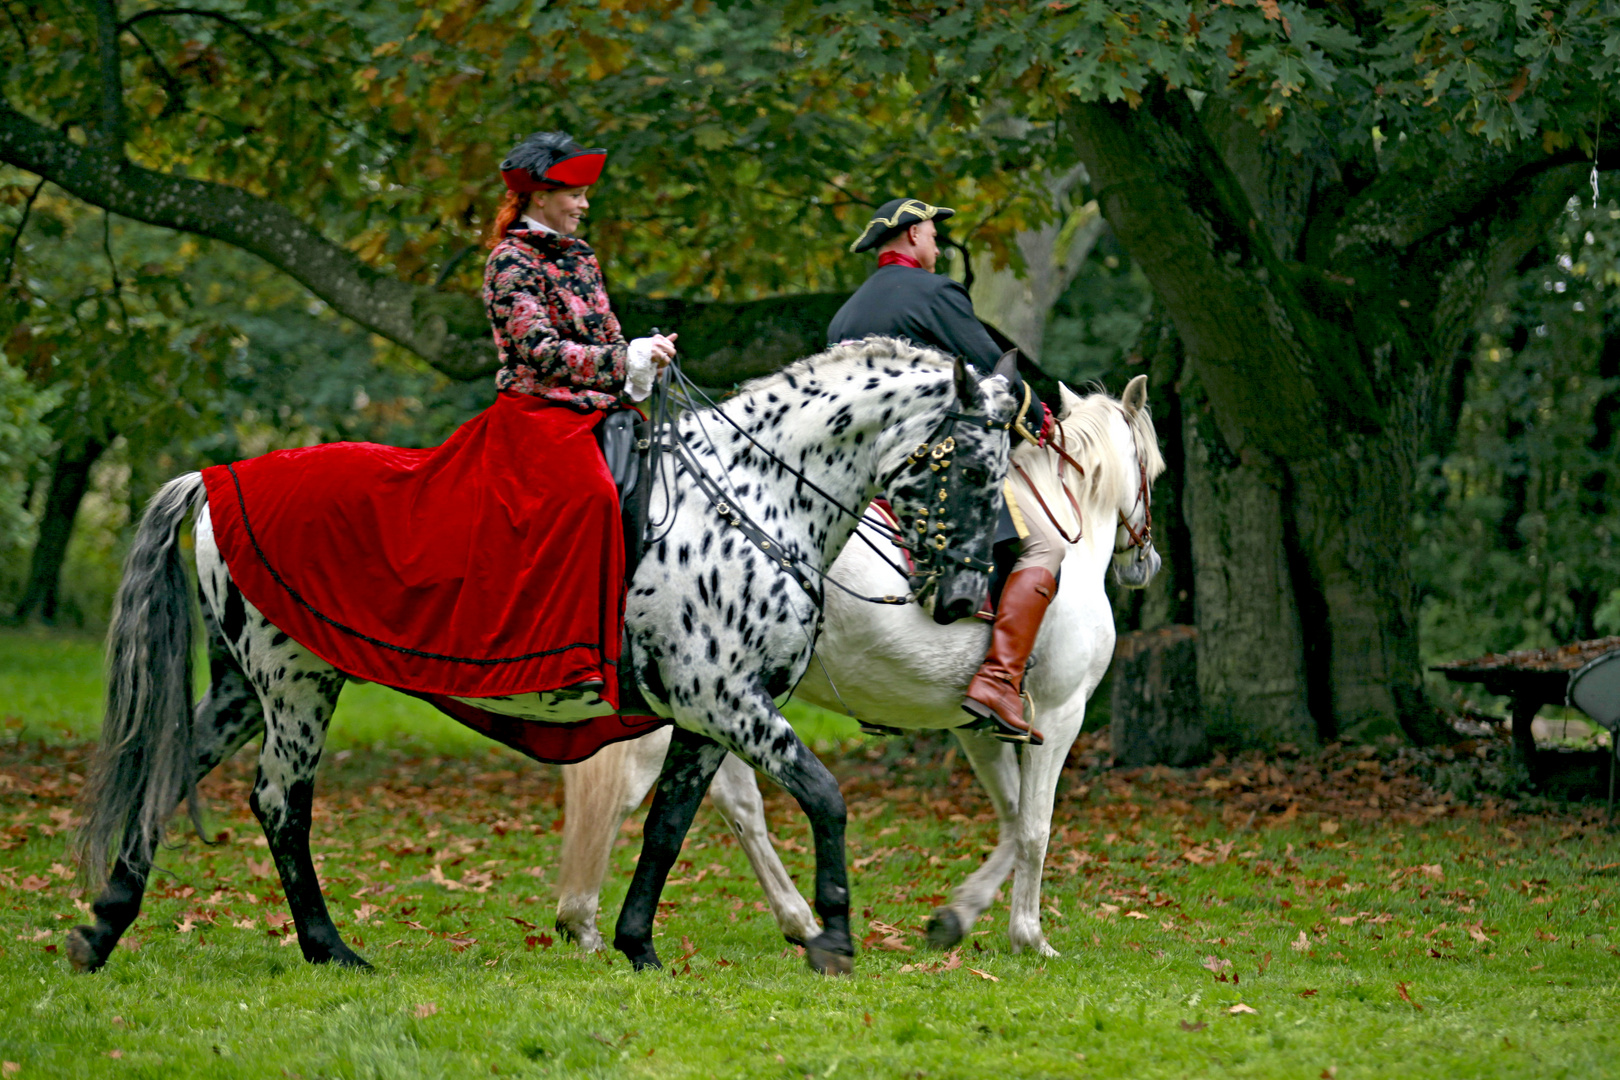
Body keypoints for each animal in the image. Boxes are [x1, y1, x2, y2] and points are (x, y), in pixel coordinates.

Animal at [72, 340, 1023, 977]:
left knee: (170, 775)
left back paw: (104, 927)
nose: (964, 600)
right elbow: (825, 797)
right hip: (298, 684)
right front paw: (834, 938)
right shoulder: (729, 701)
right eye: (978, 469)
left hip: (244, 688)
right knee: (280, 803)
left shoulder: (708, 714)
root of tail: (214, 480)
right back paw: (328, 947)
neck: (751, 498)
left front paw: (638, 948)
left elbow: (669, 825)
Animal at [557, 375, 1166, 958]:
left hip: (721, 705)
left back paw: (794, 919)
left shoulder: (978, 728)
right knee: (631, 793)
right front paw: (1030, 935)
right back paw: (583, 919)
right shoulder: (1061, 714)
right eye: (1153, 471)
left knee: (738, 805)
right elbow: (1036, 827)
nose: (1148, 563)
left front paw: (956, 916)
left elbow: (1014, 819)